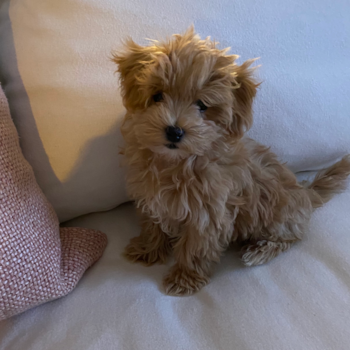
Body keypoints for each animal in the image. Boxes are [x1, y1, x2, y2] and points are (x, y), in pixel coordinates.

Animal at [113, 28, 350, 296]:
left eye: (202, 105)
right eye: (157, 96)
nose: (174, 131)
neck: (176, 163)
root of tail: (306, 193)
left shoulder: (209, 211)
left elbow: (196, 246)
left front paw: (185, 278)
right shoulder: (151, 197)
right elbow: (153, 225)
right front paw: (148, 249)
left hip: (280, 213)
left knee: (290, 237)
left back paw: (258, 252)